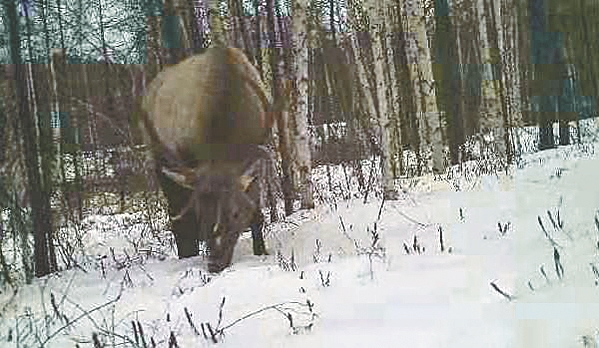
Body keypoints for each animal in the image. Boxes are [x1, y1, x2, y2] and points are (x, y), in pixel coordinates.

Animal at [139, 48, 282, 272]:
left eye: (235, 213)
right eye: (201, 211)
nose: (215, 263)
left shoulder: (256, 159)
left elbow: (257, 213)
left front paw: (261, 251)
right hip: (159, 160)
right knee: (178, 217)